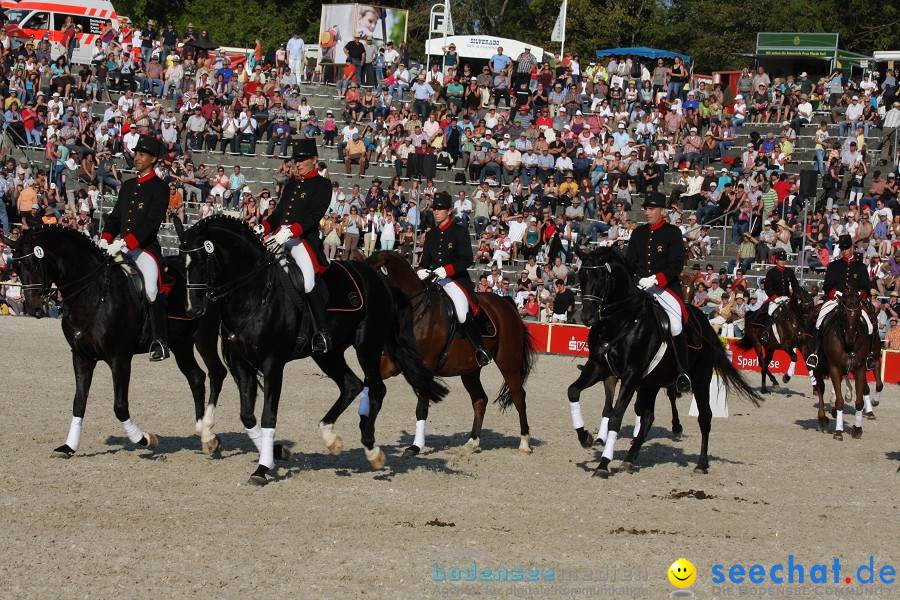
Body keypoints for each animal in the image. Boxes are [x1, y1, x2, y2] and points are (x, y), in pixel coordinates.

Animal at [8, 227, 227, 458]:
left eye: (33, 264)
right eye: (16, 267)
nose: (34, 309)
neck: (93, 294)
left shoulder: (120, 358)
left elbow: (120, 406)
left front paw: (145, 439)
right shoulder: (81, 357)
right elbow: (79, 402)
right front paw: (68, 446)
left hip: (204, 337)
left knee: (216, 373)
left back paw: (208, 431)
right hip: (180, 344)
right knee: (196, 377)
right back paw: (205, 436)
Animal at [176, 216, 446, 482]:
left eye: (203, 260)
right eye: (182, 261)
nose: (192, 309)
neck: (254, 292)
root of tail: (382, 282)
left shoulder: (272, 363)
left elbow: (268, 416)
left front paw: (262, 468)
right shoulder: (243, 364)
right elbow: (248, 417)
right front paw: (277, 452)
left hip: (367, 346)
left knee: (376, 389)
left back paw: (372, 450)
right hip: (329, 354)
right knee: (351, 385)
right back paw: (330, 437)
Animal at [366, 252, 536, 454]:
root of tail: (507, 304)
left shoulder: (426, 368)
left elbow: (421, 408)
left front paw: (416, 446)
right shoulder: (392, 363)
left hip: (508, 362)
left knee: (519, 396)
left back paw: (524, 443)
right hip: (470, 370)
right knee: (480, 400)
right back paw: (472, 442)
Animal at [568, 246, 760, 476]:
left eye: (603, 277)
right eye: (582, 275)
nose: (587, 317)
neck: (621, 320)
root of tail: (704, 324)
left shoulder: (631, 375)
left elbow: (616, 416)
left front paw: (604, 464)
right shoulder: (599, 367)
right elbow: (573, 391)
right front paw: (585, 437)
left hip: (699, 379)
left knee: (705, 417)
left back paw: (701, 464)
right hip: (650, 383)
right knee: (647, 418)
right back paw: (630, 459)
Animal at [812, 290, 868, 440]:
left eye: (859, 314)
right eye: (844, 314)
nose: (850, 338)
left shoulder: (860, 369)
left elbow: (859, 402)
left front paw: (857, 429)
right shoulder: (834, 368)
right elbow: (839, 401)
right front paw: (838, 431)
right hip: (818, 367)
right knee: (820, 388)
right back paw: (822, 419)